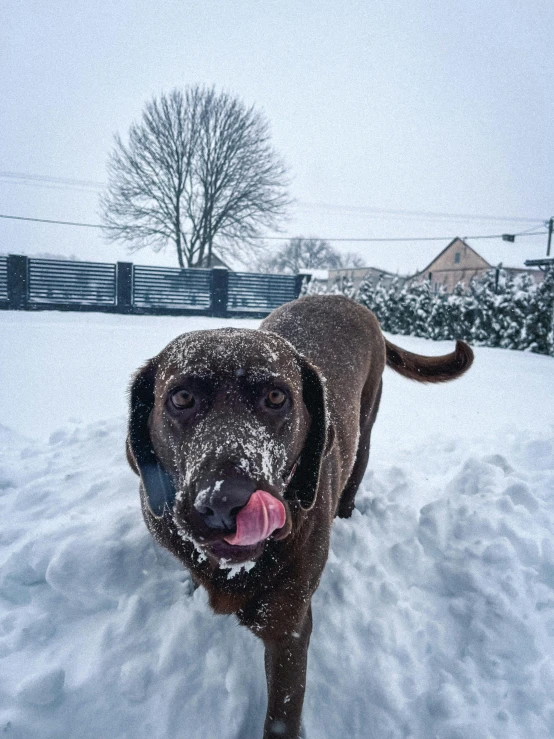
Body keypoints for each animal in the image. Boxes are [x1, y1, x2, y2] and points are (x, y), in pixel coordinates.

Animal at [125, 294, 470, 739]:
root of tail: (346, 299)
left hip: (365, 431)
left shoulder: (290, 628)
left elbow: (281, 717)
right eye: (181, 398)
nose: (226, 501)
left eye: (276, 397)